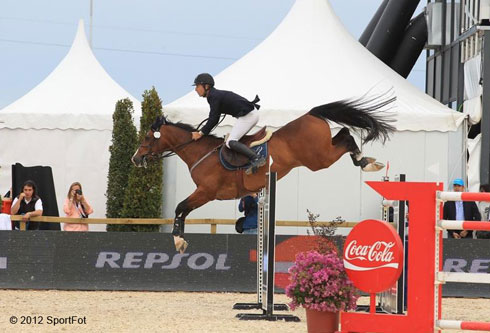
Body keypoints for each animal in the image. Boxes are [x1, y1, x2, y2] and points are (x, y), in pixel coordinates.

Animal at [132, 95, 396, 252]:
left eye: (147, 137)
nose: (135, 158)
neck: (199, 151)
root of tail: (310, 113)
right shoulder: (205, 193)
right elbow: (183, 210)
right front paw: (180, 239)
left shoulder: (206, 192)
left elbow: (180, 207)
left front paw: (178, 240)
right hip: (320, 154)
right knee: (344, 133)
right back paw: (367, 160)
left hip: (318, 159)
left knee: (346, 138)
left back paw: (366, 163)